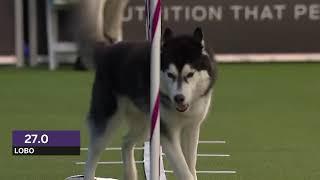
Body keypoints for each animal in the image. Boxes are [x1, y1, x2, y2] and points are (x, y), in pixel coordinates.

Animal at [84, 27, 216, 180]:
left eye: (190, 74)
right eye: (170, 74)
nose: (179, 98)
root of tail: (107, 50)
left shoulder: (191, 128)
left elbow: (191, 166)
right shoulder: (166, 132)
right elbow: (183, 170)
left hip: (145, 126)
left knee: (126, 142)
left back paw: (130, 174)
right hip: (109, 120)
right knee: (93, 151)